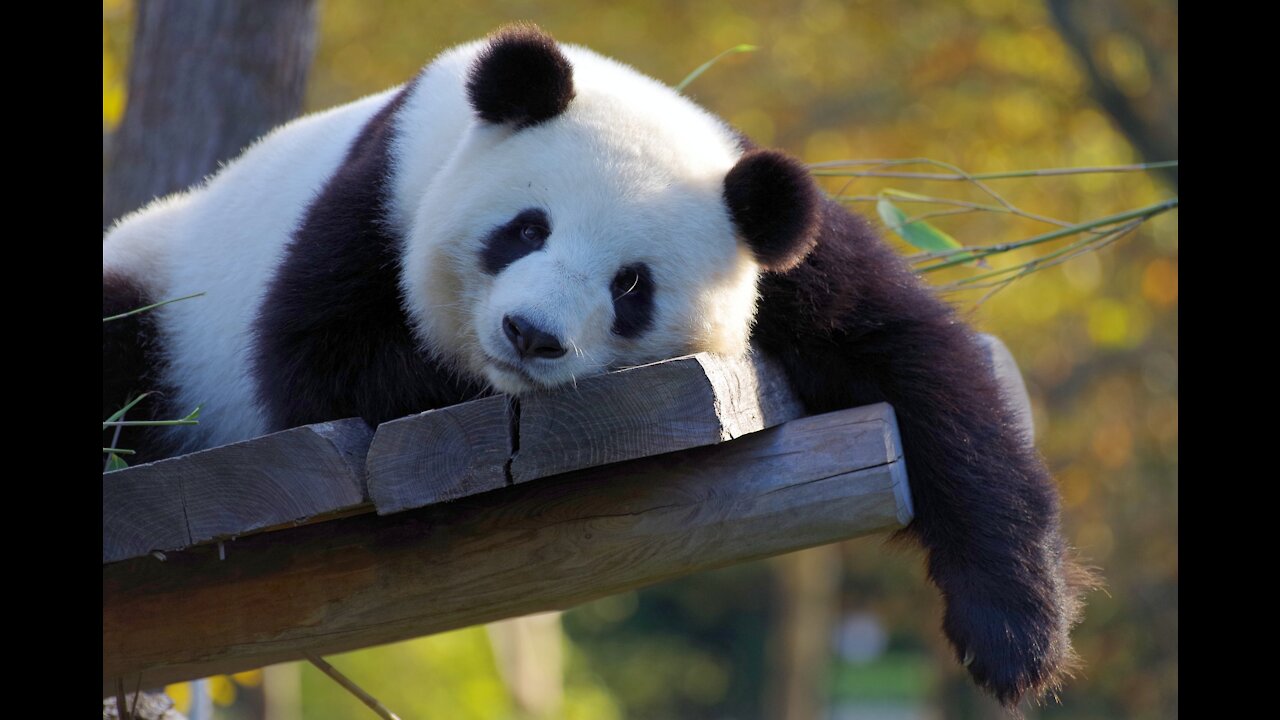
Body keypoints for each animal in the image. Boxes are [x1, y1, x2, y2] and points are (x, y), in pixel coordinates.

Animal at [102, 25, 1090, 707]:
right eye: (525, 228)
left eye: (632, 286)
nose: (531, 335)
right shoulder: (379, 192)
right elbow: (319, 359)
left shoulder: (778, 242)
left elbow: (918, 361)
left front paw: (1018, 638)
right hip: (163, 291)